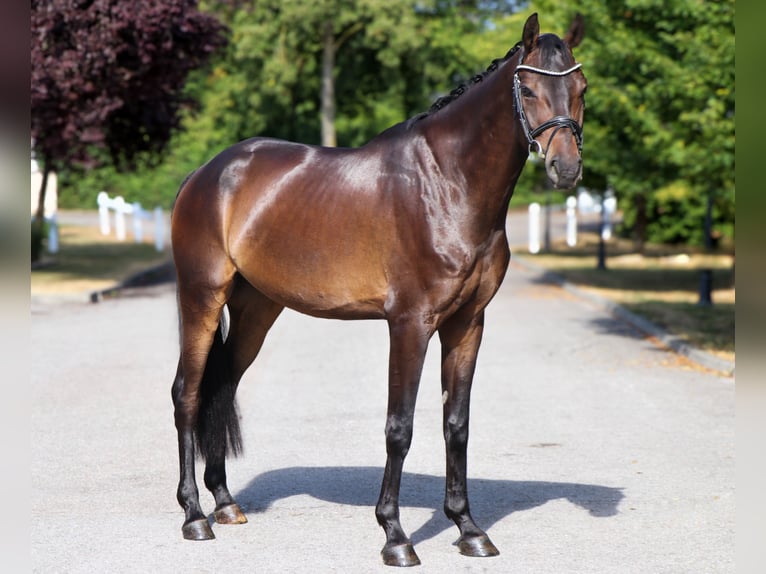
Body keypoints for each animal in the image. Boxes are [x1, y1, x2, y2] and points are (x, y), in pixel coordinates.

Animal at [170, 12, 587, 567]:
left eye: (581, 88)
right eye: (529, 88)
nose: (566, 168)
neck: (448, 183)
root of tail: (205, 174)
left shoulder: (467, 324)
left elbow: (457, 423)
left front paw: (469, 529)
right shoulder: (410, 324)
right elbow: (399, 426)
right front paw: (395, 535)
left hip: (257, 308)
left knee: (221, 386)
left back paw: (225, 503)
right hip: (201, 297)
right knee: (188, 393)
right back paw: (194, 516)